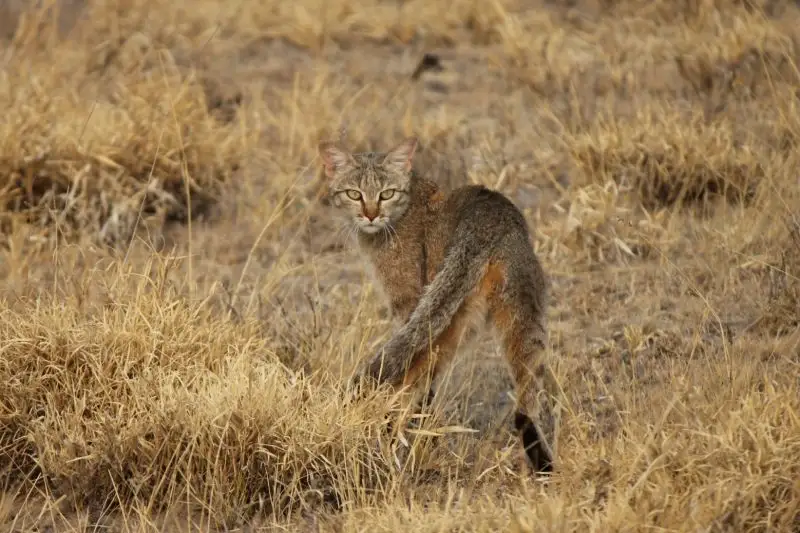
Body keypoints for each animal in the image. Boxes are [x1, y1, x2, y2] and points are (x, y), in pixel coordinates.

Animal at [318, 137, 556, 474]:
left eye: (386, 194)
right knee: (531, 403)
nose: (370, 215)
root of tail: (487, 219)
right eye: (354, 194)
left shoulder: (407, 305)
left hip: (439, 320)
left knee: (412, 374)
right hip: (516, 319)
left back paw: (393, 436)